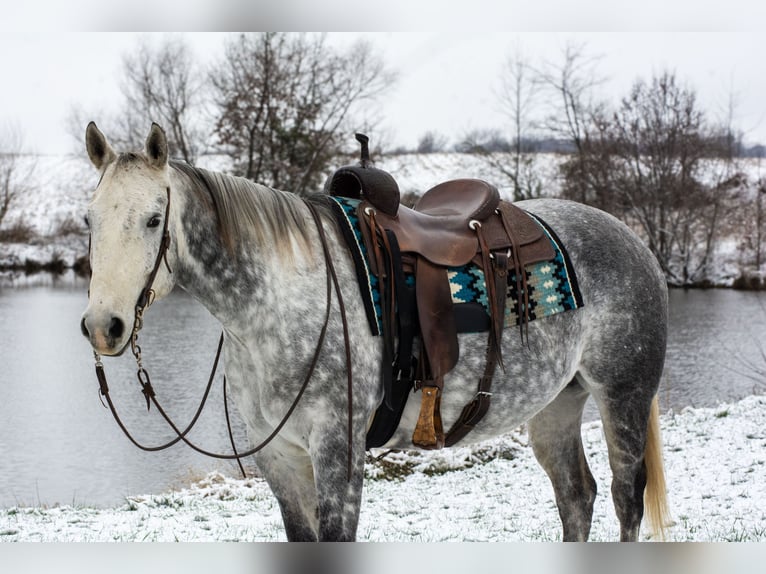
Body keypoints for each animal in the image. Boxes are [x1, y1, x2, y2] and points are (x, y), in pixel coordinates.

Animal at [80, 122, 670, 542]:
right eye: (90, 220)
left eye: (154, 219)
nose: (103, 326)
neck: (282, 298)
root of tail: (633, 239)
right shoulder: (280, 458)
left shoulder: (338, 451)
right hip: (556, 405)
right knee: (577, 498)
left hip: (623, 396)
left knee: (625, 500)